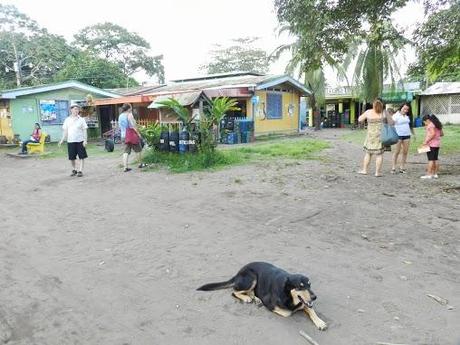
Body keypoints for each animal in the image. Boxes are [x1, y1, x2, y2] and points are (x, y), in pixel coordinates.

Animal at [197, 262, 328, 330]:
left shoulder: (306, 303)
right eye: (300, 287)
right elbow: (288, 312)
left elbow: (311, 310)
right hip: (252, 277)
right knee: (234, 291)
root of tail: (238, 272)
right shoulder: (270, 303)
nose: (314, 297)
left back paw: (255, 298)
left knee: (249, 291)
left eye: (309, 285)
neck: (288, 294)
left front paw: (320, 322)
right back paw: (247, 298)